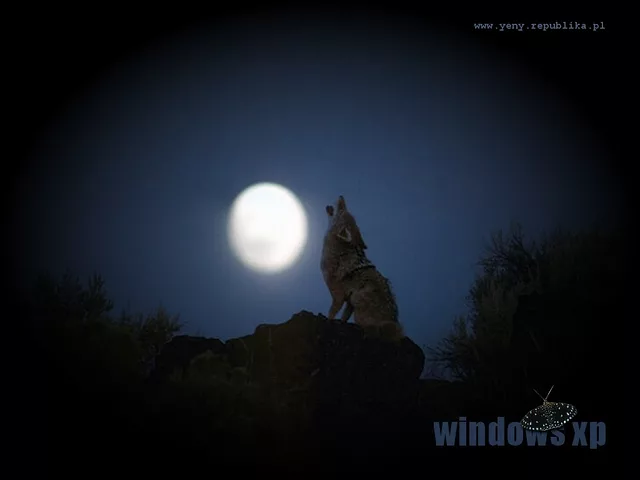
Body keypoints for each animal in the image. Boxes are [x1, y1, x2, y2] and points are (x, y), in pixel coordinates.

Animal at [320, 195, 403, 340]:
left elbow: (332, 313)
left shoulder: (338, 295)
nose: (341, 197)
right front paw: (341, 322)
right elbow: (344, 316)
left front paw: (327, 320)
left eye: (341, 209)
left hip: (358, 300)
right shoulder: (349, 300)